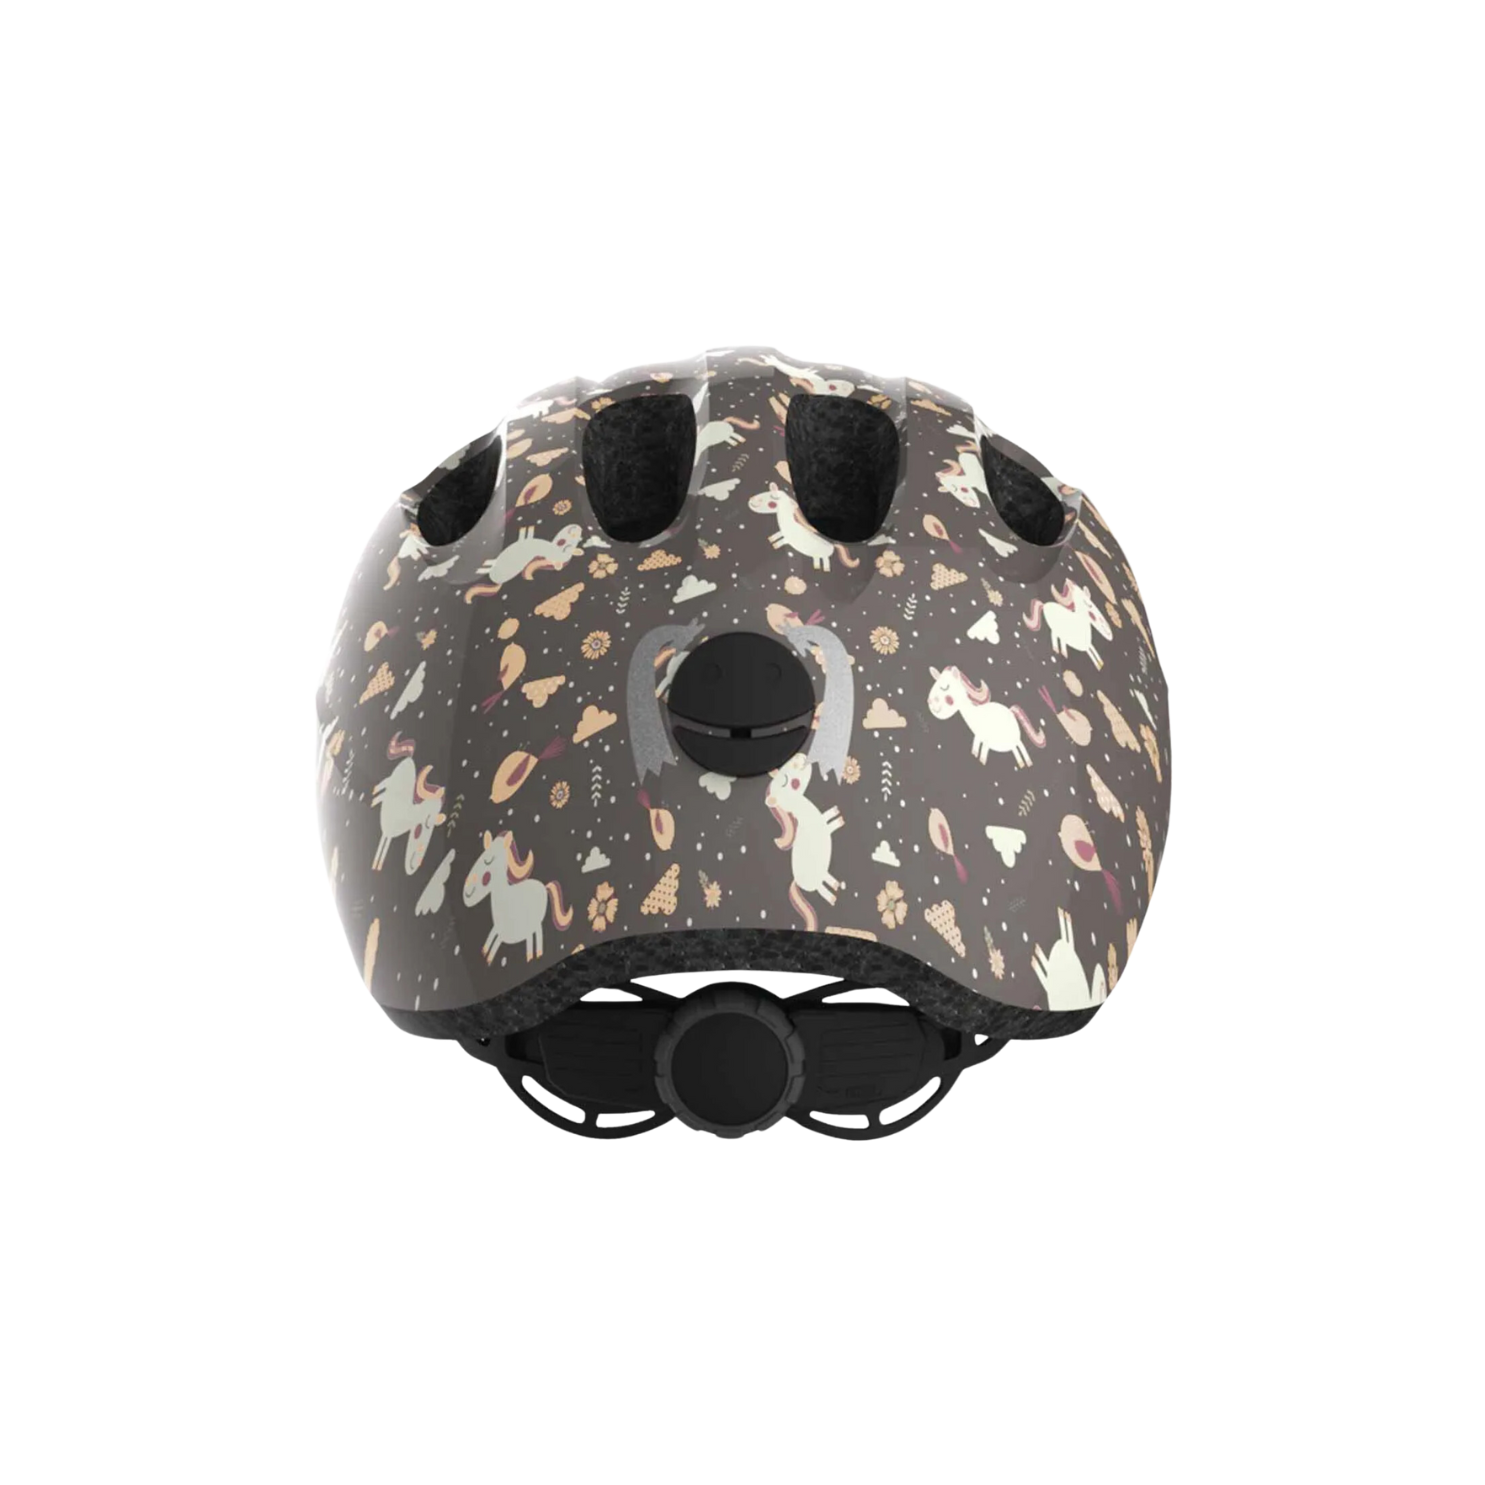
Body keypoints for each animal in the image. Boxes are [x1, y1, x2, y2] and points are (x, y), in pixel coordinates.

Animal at [463, 829, 574, 964]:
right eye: (482, 855)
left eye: (488, 860)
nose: (467, 893)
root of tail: (543, 885)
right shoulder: (497, 930)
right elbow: (489, 944)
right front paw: (486, 955)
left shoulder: (501, 934)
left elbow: (494, 946)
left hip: (535, 923)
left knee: (537, 934)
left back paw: (535, 954)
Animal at [764, 753, 845, 930]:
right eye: (790, 782)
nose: (801, 757)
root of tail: (796, 880)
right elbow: (830, 823)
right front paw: (839, 820)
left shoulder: (822, 821)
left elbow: (828, 818)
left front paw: (837, 816)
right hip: (815, 882)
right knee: (821, 889)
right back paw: (831, 897)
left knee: (825, 879)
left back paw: (836, 885)